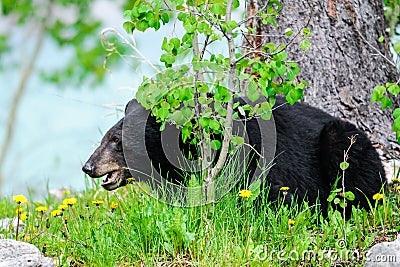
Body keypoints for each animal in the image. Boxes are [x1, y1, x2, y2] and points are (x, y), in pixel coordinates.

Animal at [83, 97, 386, 213]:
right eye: (106, 136)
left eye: (115, 140)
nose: (88, 166)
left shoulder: (254, 152)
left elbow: (275, 191)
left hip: (342, 140)